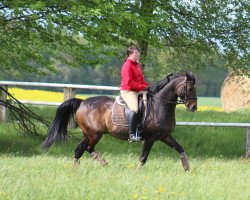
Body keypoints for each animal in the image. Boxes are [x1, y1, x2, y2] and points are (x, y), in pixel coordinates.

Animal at [41, 72, 197, 170]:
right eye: (189, 87)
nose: (193, 107)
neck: (160, 105)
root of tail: (82, 102)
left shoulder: (165, 136)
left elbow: (180, 149)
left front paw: (187, 168)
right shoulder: (149, 138)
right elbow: (143, 158)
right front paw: (137, 172)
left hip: (88, 134)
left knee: (81, 149)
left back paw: (85, 167)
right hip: (94, 134)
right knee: (86, 148)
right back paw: (101, 163)